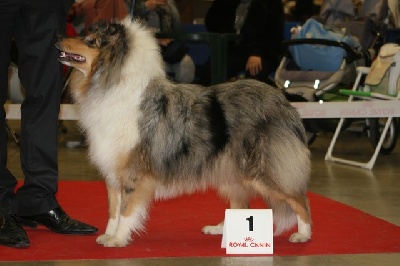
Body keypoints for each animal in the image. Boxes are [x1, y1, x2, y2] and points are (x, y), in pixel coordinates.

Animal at [56, 18, 312, 247]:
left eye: (91, 41)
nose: (58, 38)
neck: (109, 84)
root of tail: (284, 102)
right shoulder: (113, 171)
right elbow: (113, 210)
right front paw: (109, 235)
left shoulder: (132, 171)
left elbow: (127, 209)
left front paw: (118, 239)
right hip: (230, 170)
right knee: (242, 205)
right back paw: (220, 230)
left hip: (264, 170)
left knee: (299, 198)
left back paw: (303, 234)